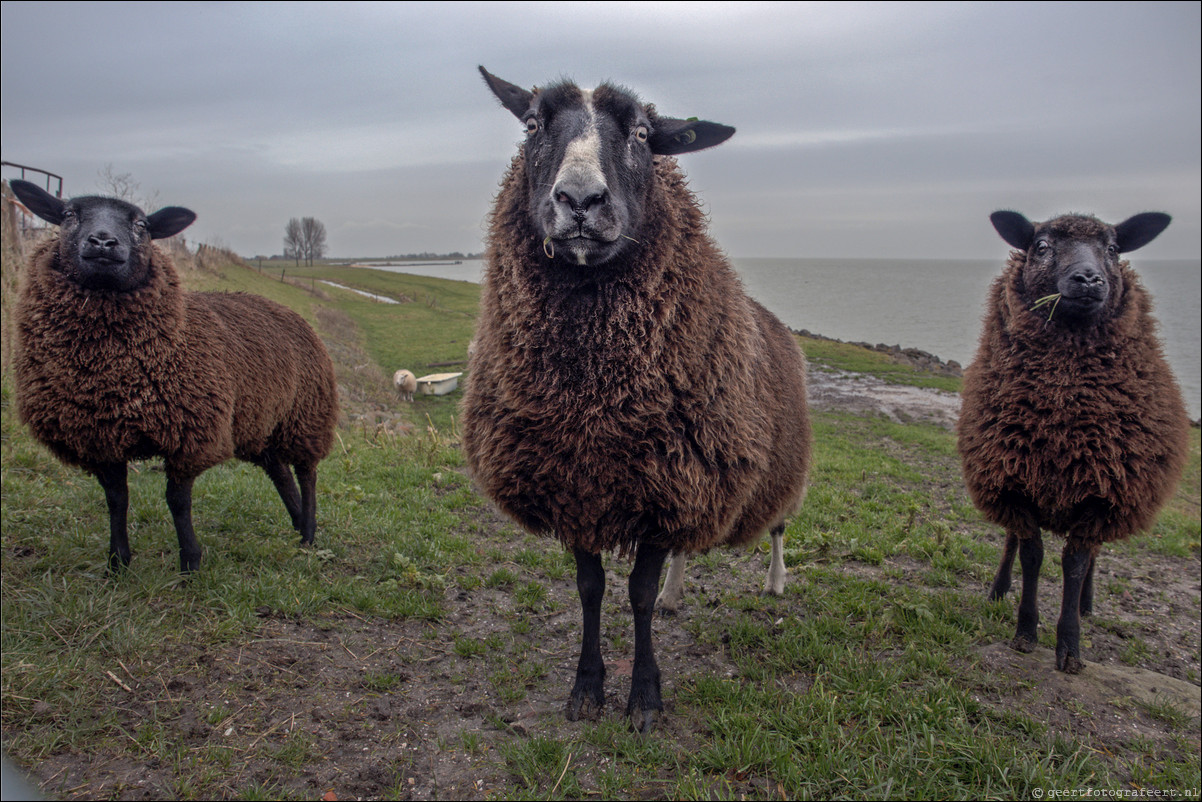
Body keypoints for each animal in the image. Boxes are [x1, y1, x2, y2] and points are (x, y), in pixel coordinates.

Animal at [10, 179, 338, 574]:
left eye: (141, 224)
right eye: (69, 215)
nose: (103, 242)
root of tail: (289, 310)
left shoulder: (190, 435)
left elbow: (177, 502)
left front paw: (190, 563)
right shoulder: (100, 438)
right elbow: (116, 499)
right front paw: (118, 562)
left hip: (306, 415)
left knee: (306, 473)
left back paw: (309, 532)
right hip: (259, 422)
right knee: (281, 473)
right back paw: (296, 524)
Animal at [463, 69, 812, 735]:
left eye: (646, 134)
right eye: (532, 124)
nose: (579, 200)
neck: (593, 402)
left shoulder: (666, 486)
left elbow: (638, 596)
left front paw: (645, 697)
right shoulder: (577, 486)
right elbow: (592, 590)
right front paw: (586, 688)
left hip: (771, 467)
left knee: (779, 525)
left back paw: (777, 582)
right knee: (685, 552)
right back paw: (680, 594)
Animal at [956, 210, 1192, 673]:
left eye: (1114, 249)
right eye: (1041, 246)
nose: (1088, 279)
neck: (1062, 420)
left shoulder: (1102, 495)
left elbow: (1076, 563)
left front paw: (1070, 645)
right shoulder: (1015, 484)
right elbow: (1032, 555)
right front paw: (1026, 631)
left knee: (1093, 557)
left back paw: (1086, 603)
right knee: (1011, 541)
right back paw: (999, 588)